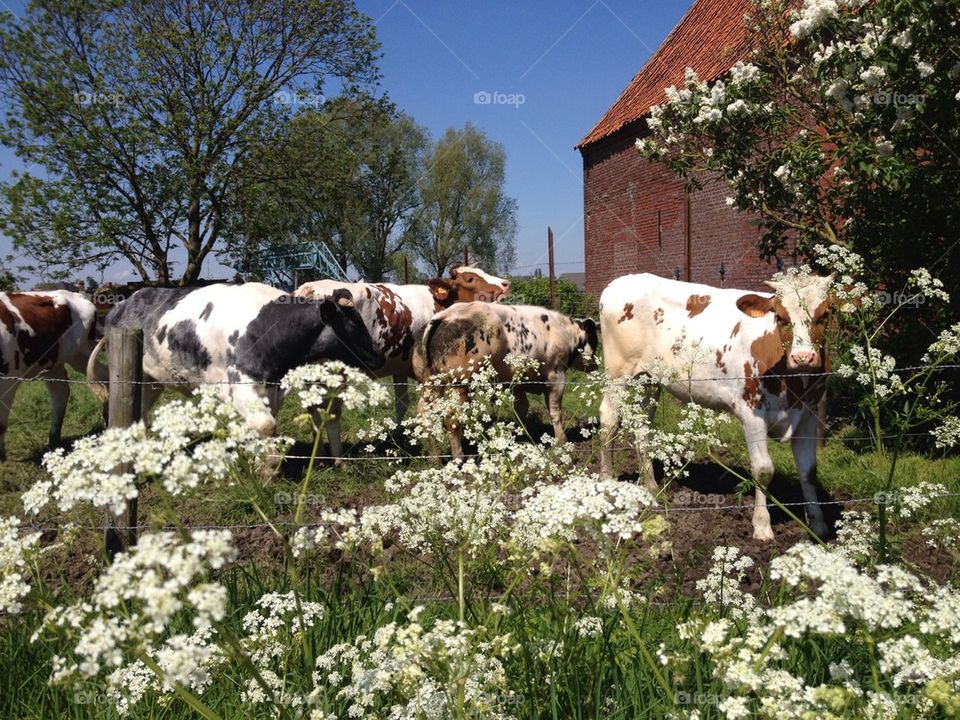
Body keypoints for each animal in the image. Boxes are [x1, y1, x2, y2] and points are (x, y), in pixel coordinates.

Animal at [86, 283, 383, 438]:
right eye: (354, 324)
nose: (378, 357)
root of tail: (118, 307)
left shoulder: (269, 389)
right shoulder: (239, 384)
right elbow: (266, 425)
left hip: (151, 380)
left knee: (140, 413)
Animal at [294, 266, 511, 457]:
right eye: (470, 279)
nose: (506, 283)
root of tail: (309, 289)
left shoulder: (399, 366)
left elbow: (401, 403)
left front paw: (399, 435)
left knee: (312, 410)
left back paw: (320, 455)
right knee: (331, 413)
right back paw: (338, 459)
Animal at [413, 302, 599, 459]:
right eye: (594, 339)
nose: (596, 364)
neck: (564, 331)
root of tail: (446, 315)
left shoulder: (519, 384)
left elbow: (521, 409)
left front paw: (519, 435)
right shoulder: (556, 376)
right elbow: (555, 412)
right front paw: (561, 440)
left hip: (431, 383)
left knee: (424, 413)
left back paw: (435, 457)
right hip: (461, 384)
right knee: (452, 415)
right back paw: (459, 457)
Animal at [598, 272, 834, 541]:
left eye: (824, 314)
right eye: (780, 317)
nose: (803, 357)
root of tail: (620, 281)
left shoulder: (808, 414)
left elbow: (808, 470)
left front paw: (818, 526)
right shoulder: (752, 413)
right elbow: (763, 469)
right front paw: (762, 526)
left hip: (649, 379)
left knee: (643, 428)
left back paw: (651, 487)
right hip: (618, 374)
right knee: (609, 419)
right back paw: (606, 483)